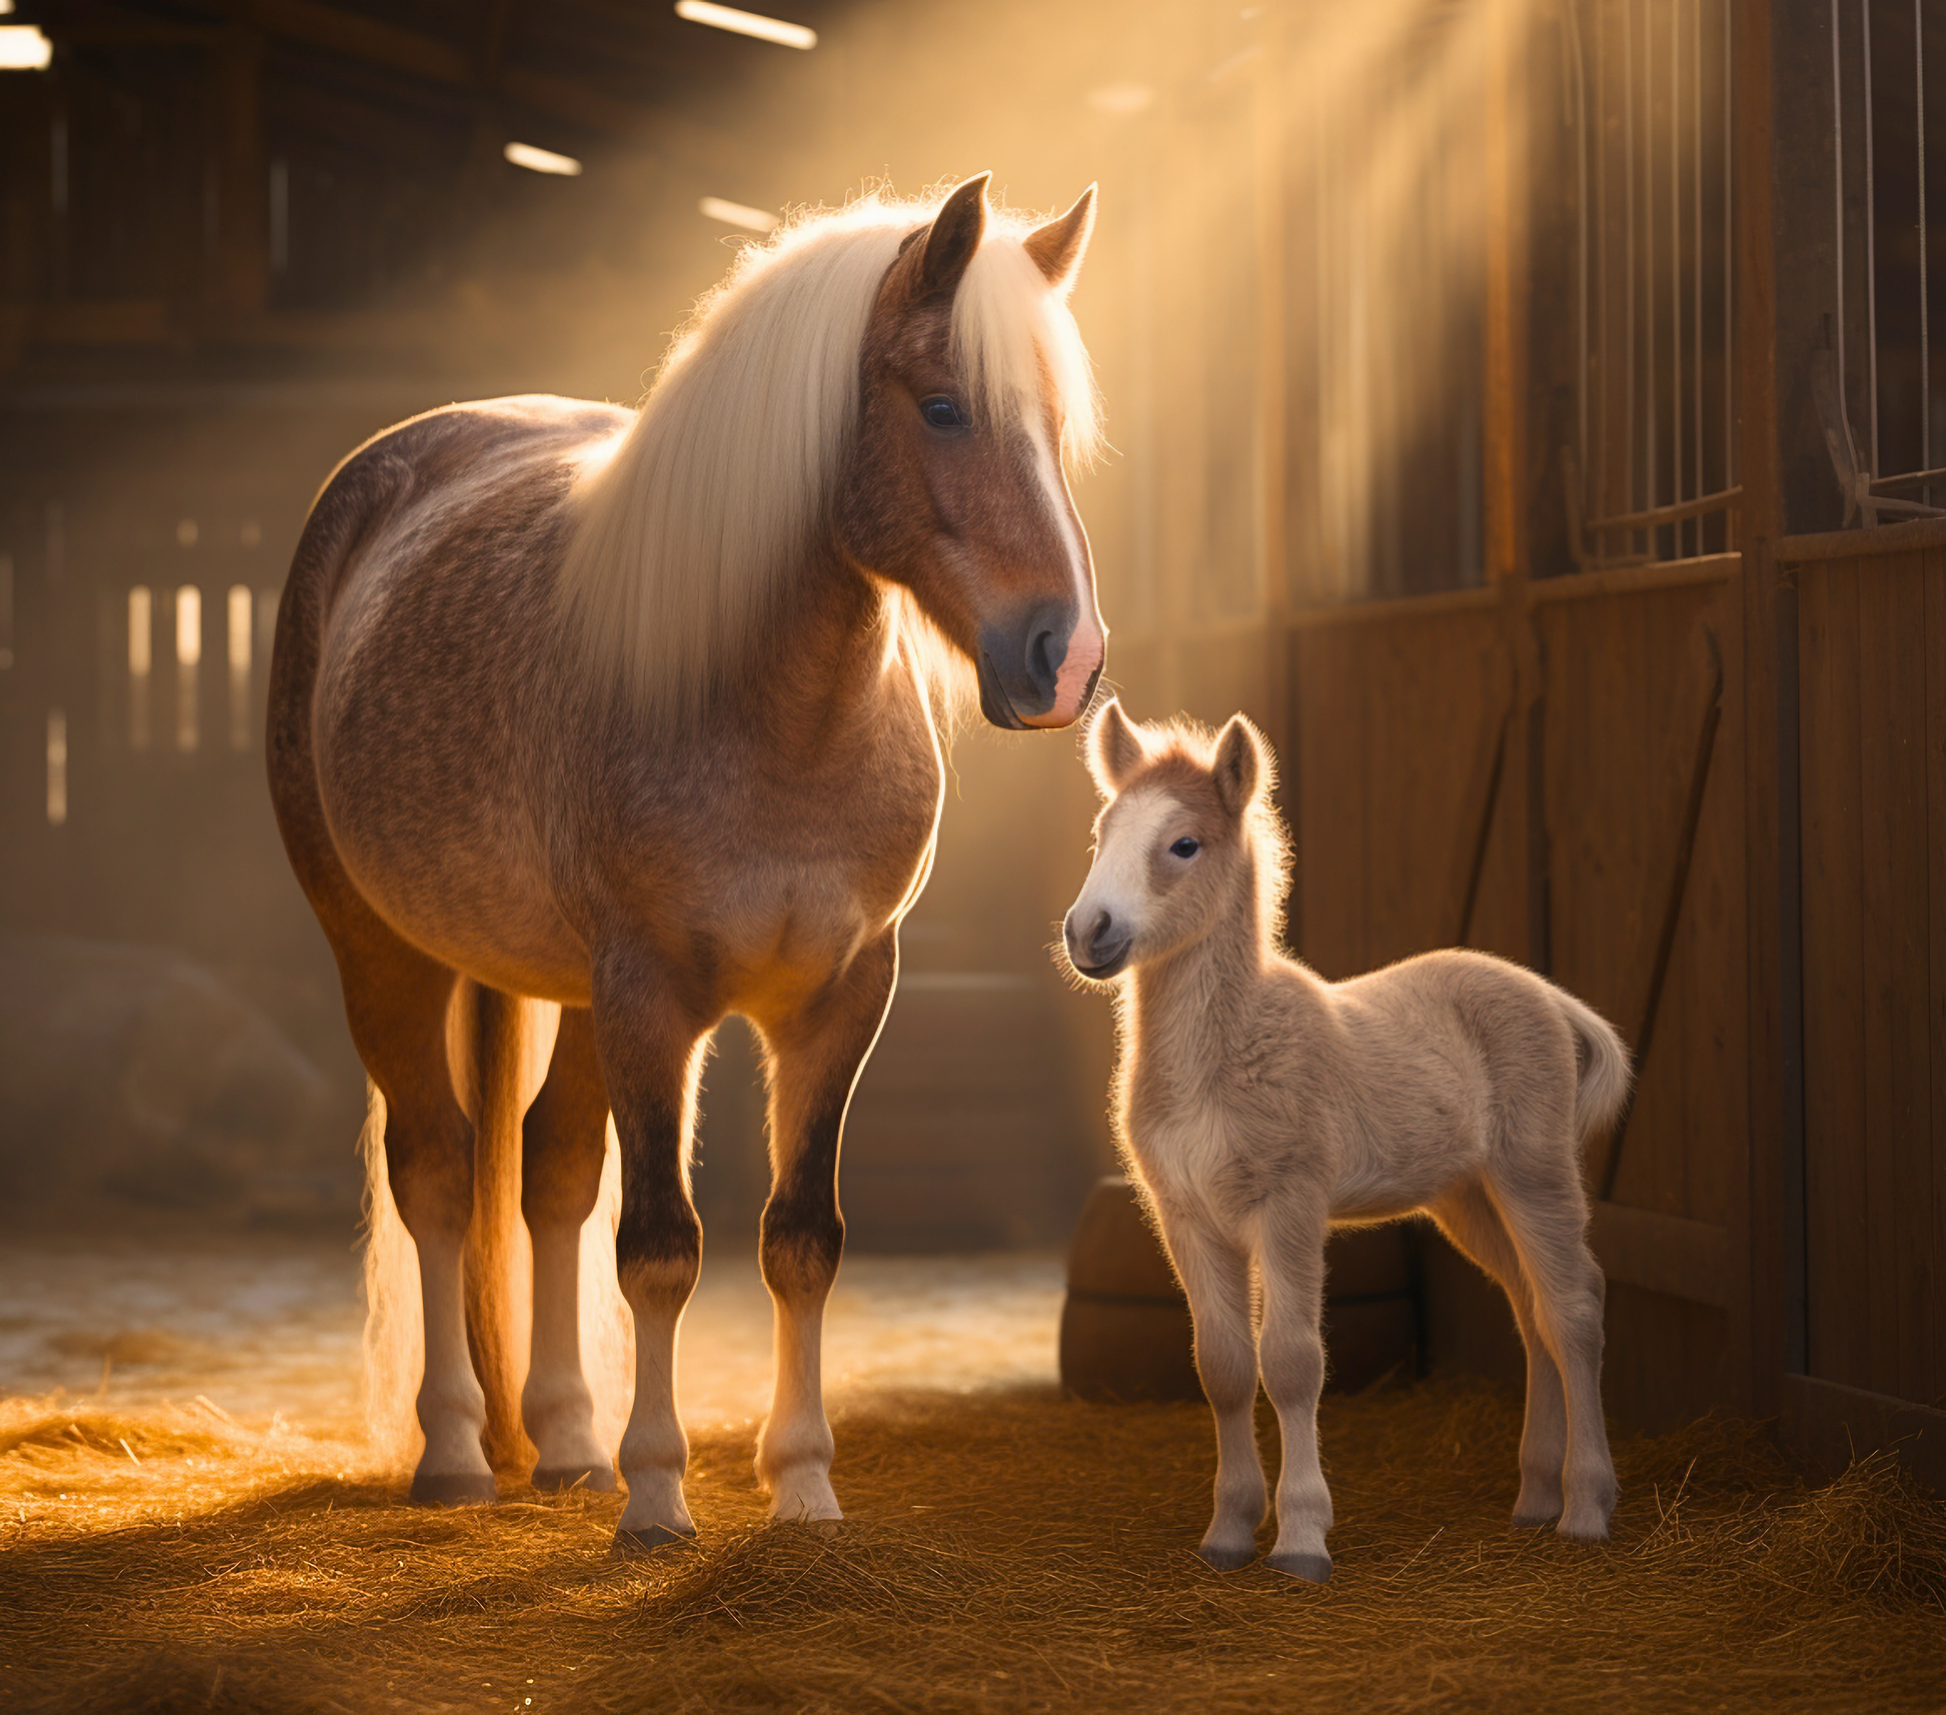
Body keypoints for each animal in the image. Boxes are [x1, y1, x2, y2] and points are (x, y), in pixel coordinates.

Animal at [266, 174, 1107, 1548]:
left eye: (1051, 420)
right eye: (942, 405)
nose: (1069, 659)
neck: (775, 718)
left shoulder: (838, 997)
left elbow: (798, 1237)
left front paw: (801, 1486)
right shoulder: (652, 993)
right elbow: (659, 1243)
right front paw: (660, 1497)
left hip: (565, 995)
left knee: (549, 1172)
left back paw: (563, 1442)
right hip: (382, 954)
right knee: (438, 1173)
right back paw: (455, 1450)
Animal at [1058, 700, 1628, 1580]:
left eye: (1184, 844)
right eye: (1100, 832)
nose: (1090, 930)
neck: (1222, 1056)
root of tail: (1548, 995)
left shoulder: (1289, 1205)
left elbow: (1293, 1362)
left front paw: (1300, 1539)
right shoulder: (1188, 1218)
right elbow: (1224, 1367)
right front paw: (1228, 1533)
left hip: (1532, 1171)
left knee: (1573, 1307)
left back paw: (1586, 1510)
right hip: (1465, 1197)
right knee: (1531, 1309)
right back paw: (1535, 1496)